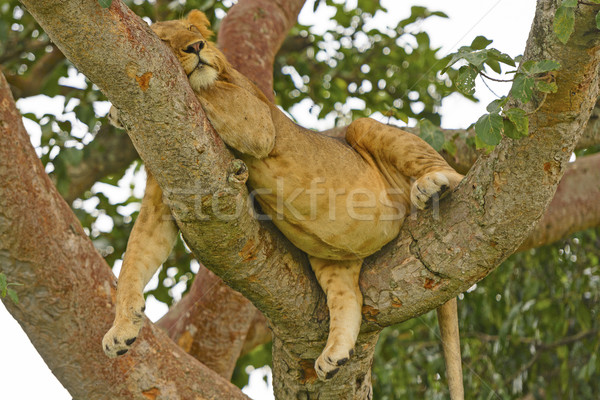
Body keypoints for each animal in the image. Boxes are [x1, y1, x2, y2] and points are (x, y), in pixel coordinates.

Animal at [103, 9, 466, 396]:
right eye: (165, 41)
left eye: (192, 31)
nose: (196, 47)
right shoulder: (167, 183)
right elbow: (135, 258)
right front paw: (121, 330)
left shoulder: (256, 120)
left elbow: (208, 91)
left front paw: (114, 110)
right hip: (331, 254)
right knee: (348, 298)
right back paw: (334, 356)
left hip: (365, 131)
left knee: (449, 171)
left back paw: (434, 184)